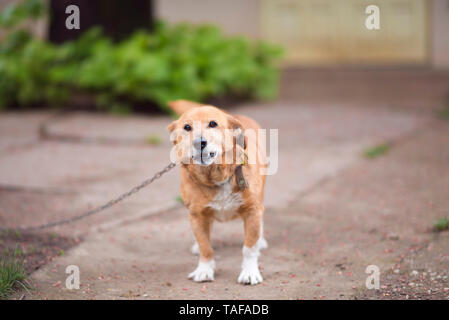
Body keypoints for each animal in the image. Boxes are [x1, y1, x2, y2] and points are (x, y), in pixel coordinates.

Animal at [167, 100, 266, 284]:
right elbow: (205, 246)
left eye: (213, 124)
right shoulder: (197, 215)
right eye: (187, 127)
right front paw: (204, 270)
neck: (216, 177)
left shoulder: (252, 210)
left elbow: (249, 247)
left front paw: (249, 272)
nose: (199, 142)